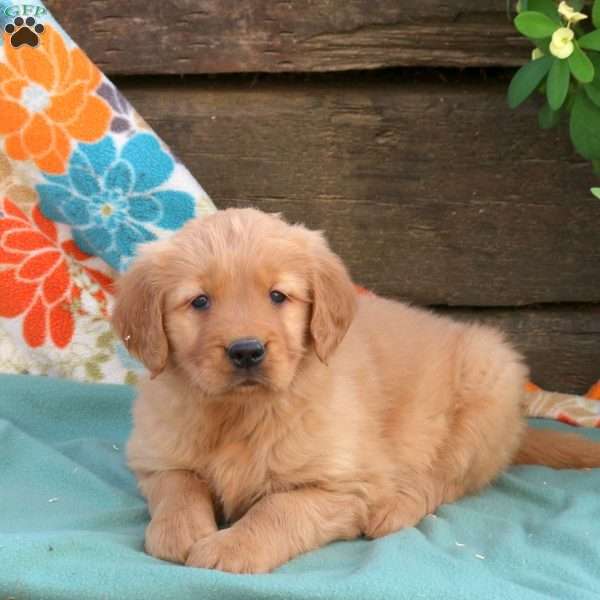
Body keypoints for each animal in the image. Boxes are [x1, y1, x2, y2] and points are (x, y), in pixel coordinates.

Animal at [112, 209, 600, 576]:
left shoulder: (346, 484)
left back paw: (395, 508)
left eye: (278, 296)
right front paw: (179, 532)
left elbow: (278, 511)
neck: (241, 413)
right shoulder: (155, 455)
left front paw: (231, 548)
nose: (246, 351)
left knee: (445, 480)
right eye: (199, 301)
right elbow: (179, 486)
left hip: (484, 389)